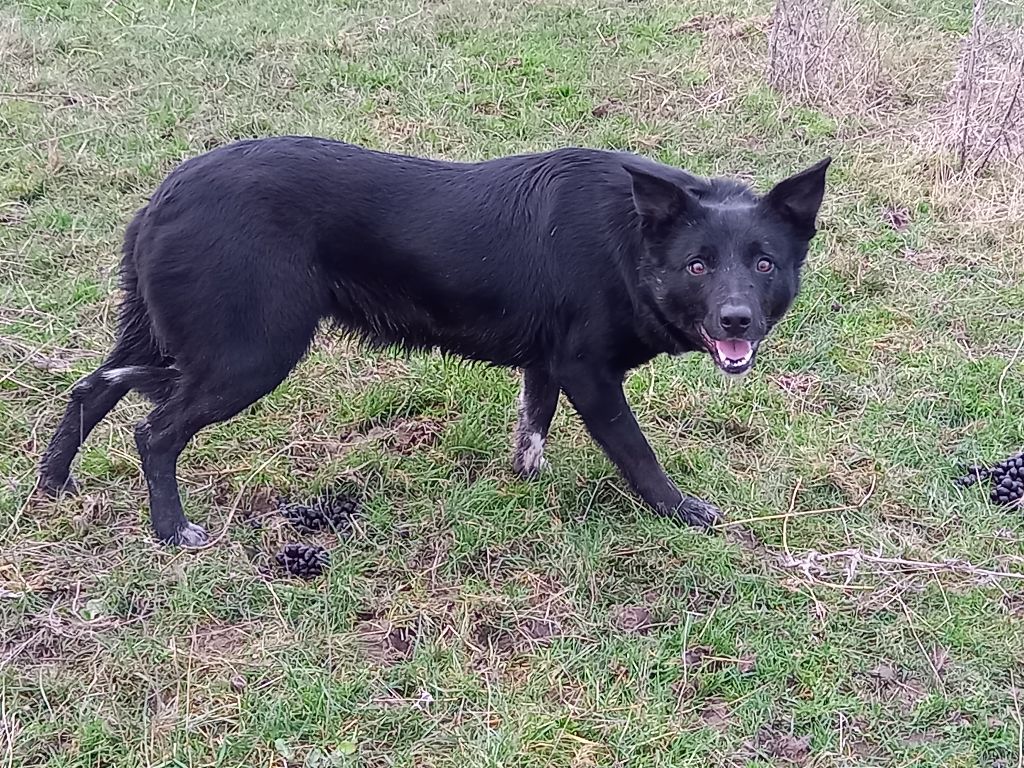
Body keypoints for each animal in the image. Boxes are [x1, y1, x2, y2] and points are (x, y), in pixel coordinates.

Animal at [37, 138, 831, 548]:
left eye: (763, 263)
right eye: (698, 265)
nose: (738, 321)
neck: (632, 240)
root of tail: (162, 197)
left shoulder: (547, 364)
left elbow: (532, 429)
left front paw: (523, 486)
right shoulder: (588, 372)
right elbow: (638, 453)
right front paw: (680, 511)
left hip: (170, 342)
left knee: (88, 389)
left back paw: (53, 486)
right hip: (248, 354)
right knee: (153, 431)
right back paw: (173, 533)